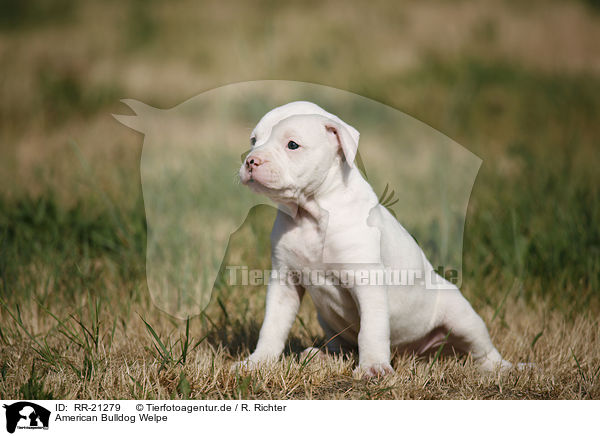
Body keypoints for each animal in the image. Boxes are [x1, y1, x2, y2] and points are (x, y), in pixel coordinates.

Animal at [237, 100, 508, 376]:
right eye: (254, 140)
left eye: (292, 145)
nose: (251, 161)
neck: (311, 215)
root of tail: (412, 352)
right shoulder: (284, 280)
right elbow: (272, 326)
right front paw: (257, 362)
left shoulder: (367, 279)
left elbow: (371, 329)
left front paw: (373, 367)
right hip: (329, 323)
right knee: (342, 347)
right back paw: (320, 356)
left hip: (460, 314)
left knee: (482, 348)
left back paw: (502, 368)